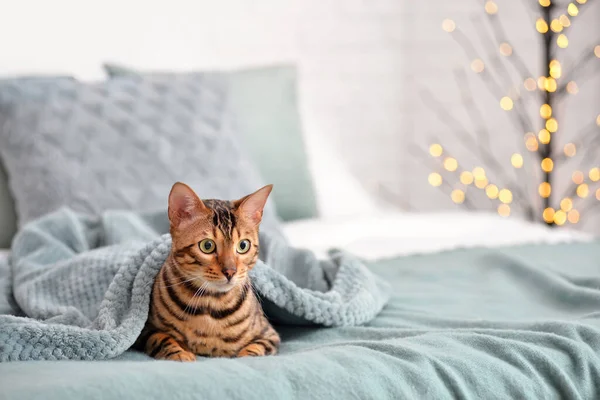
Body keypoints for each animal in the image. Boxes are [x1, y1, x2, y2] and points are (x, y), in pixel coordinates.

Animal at [138, 183, 282, 360]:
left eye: (243, 245)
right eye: (207, 246)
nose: (230, 271)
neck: (211, 303)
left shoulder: (269, 335)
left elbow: (255, 348)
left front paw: (246, 356)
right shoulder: (147, 330)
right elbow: (162, 339)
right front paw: (180, 355)